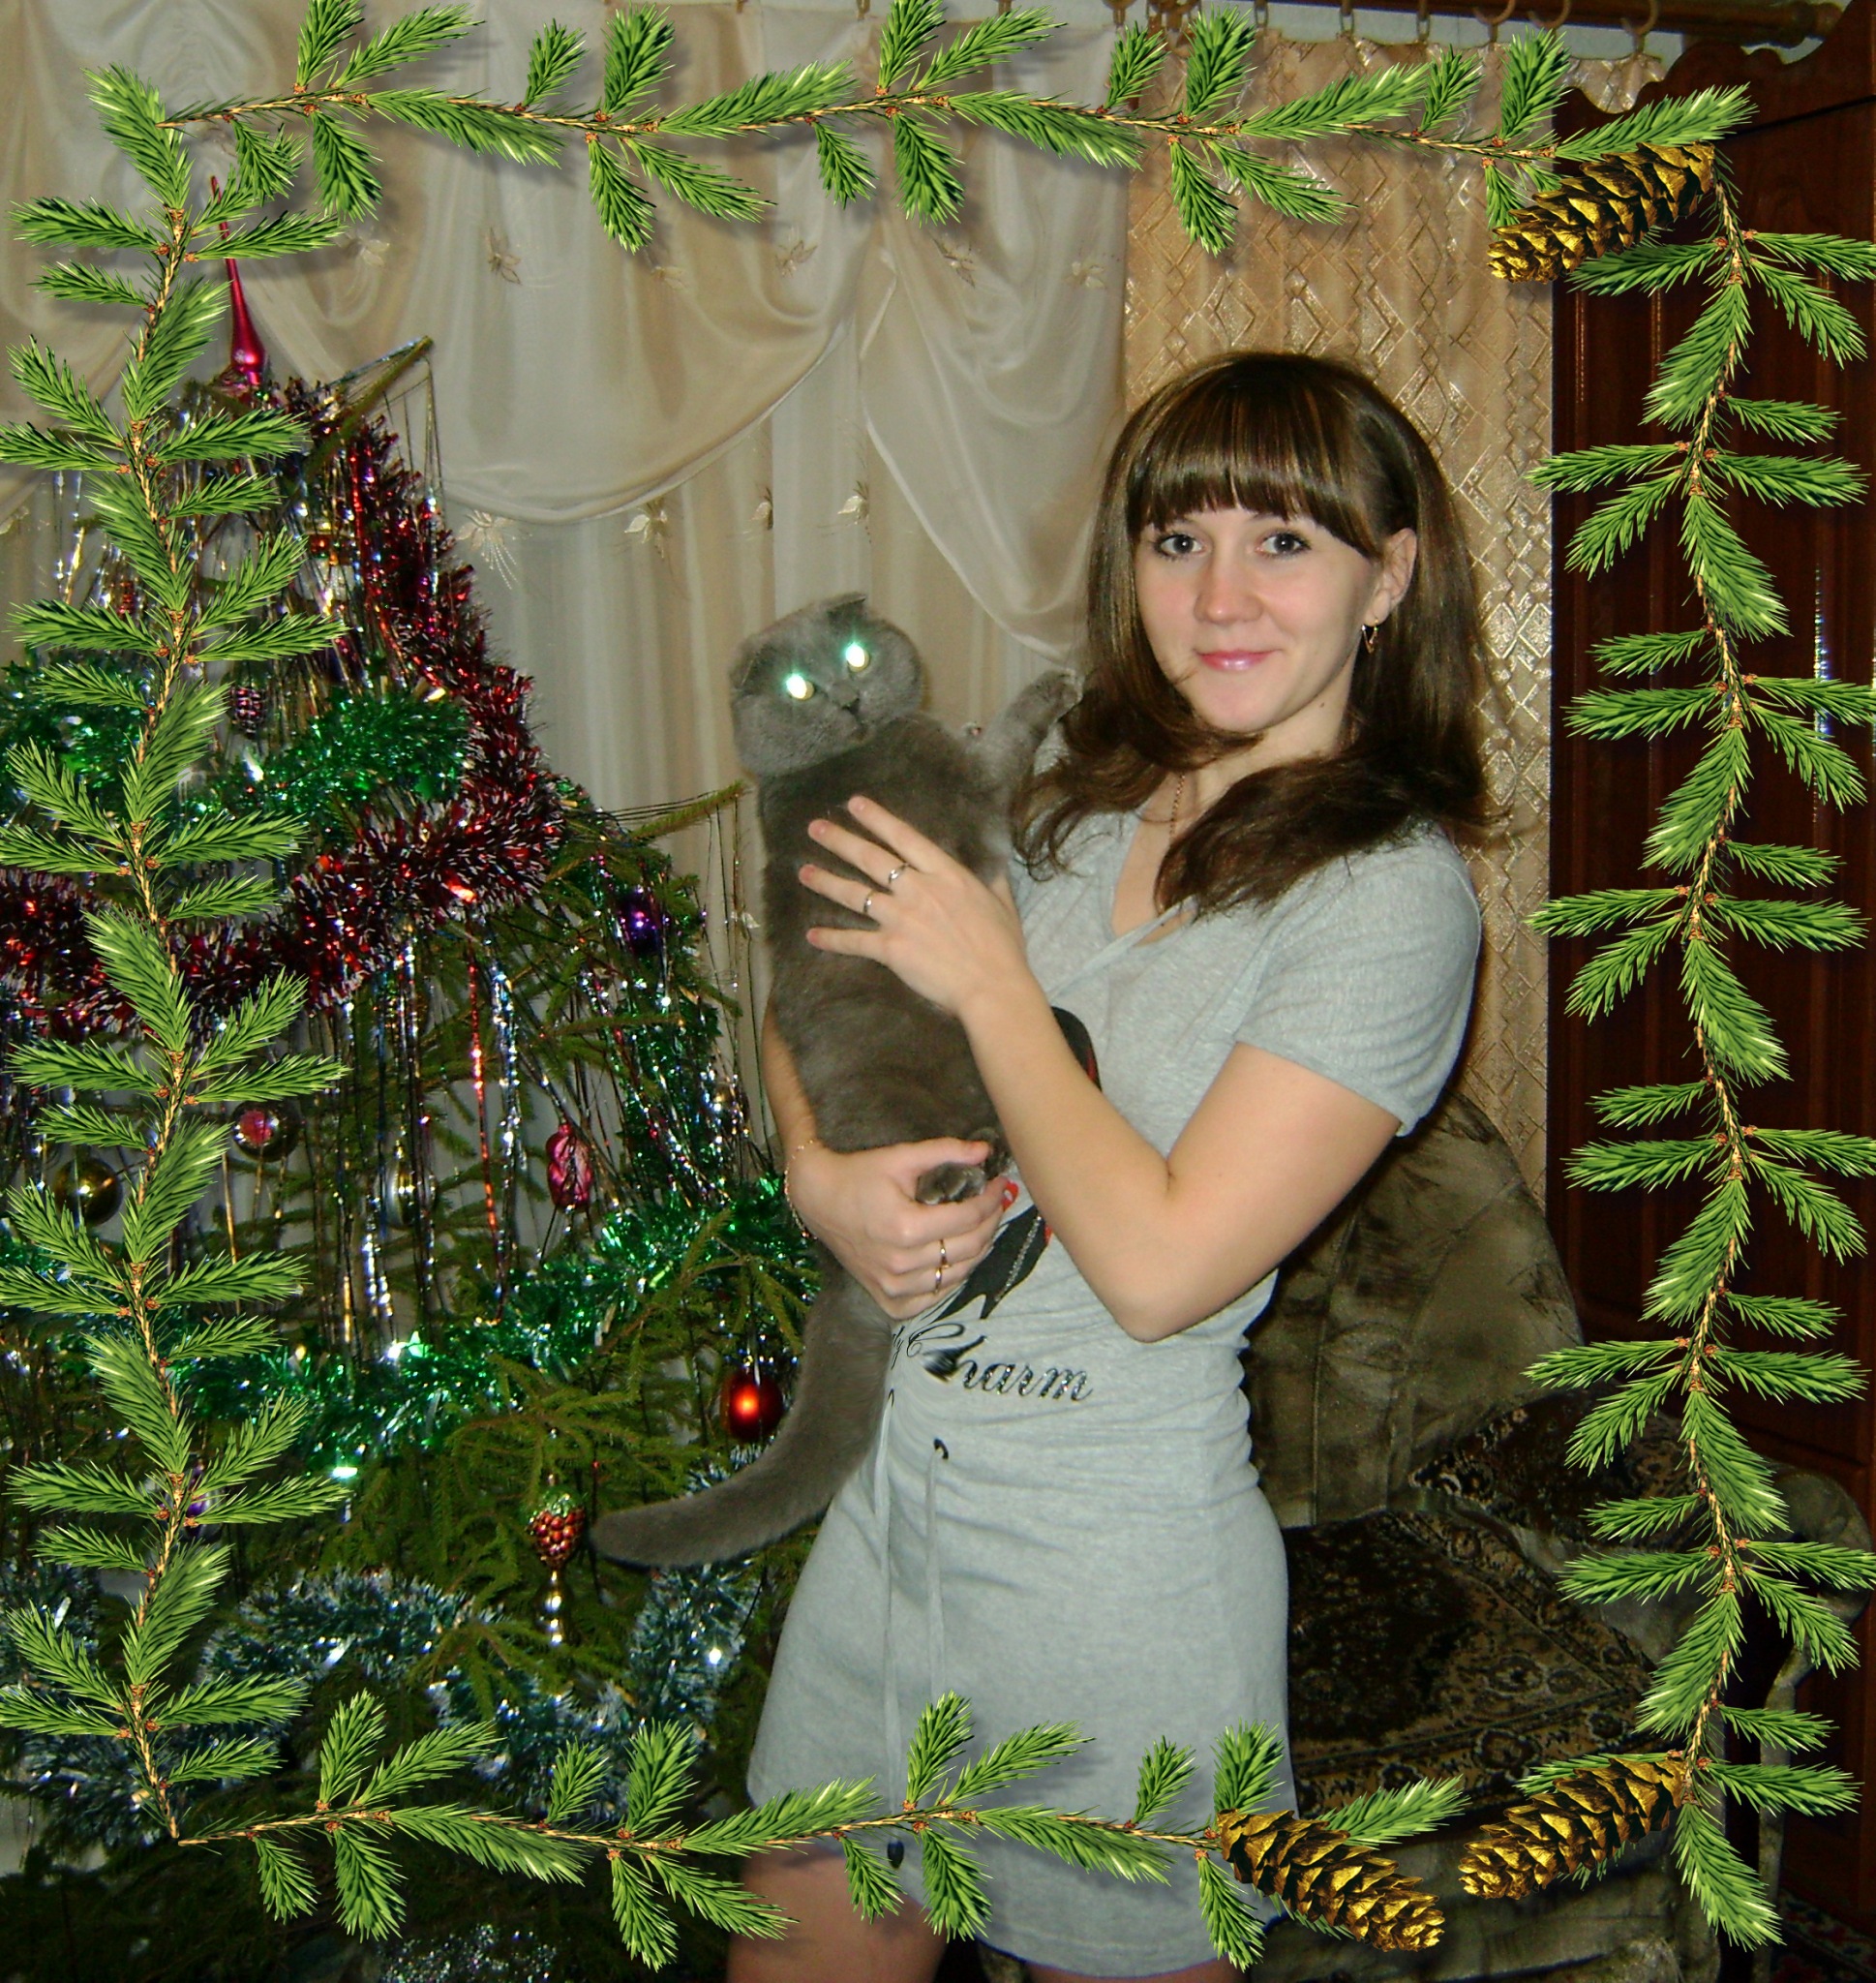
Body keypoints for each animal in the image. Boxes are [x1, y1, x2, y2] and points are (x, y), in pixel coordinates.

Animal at [591, 594, 1078, 1567]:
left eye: (854, 655)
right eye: (798, 687)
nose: (850, 698)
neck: (841, 759)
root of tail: (842, 1277)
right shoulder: (962, 776)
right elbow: (1004, 740)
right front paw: (1054, 686)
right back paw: (953, 1177)